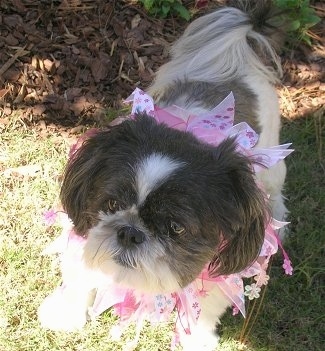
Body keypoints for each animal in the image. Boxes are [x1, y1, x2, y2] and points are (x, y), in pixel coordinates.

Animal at [38, 1, 288, 350]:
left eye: (176, 228)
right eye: (112, 205)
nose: (129, 232)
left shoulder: (214, 269)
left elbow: (205, 307)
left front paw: (197, 338)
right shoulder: (86, 233)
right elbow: (80, 271)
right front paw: (66, 311)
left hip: (272, 163)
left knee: (274, 191)